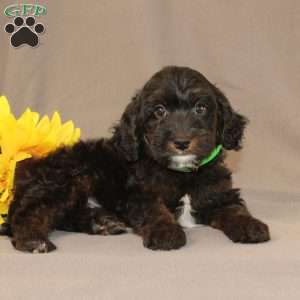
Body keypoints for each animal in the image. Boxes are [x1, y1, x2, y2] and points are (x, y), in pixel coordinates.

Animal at [7, 67, 270, 252]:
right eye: (159, 111)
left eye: (201, 108)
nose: (182, 142)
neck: (180, 173)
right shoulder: (138, 194)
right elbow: (153, 210)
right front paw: (166, 232)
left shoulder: (219, 195)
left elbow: (235, 209)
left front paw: (250, 226)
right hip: (65, 180)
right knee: (28, 214)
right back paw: (33, 241)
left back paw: (102, 223)